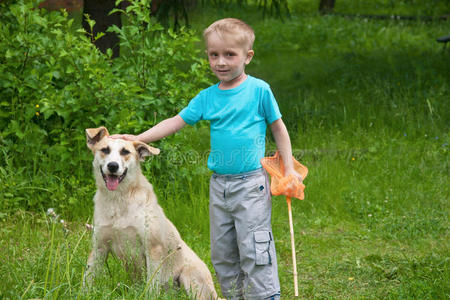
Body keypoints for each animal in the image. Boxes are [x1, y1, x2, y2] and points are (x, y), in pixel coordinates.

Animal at [84, 126, 220, 300]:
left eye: (125, 152)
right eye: (105, 150)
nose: (113, 166)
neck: (119, 200)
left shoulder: (153, 248)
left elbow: (151, 285)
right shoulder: (99, 247)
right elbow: (88, 278)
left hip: (190, 277)